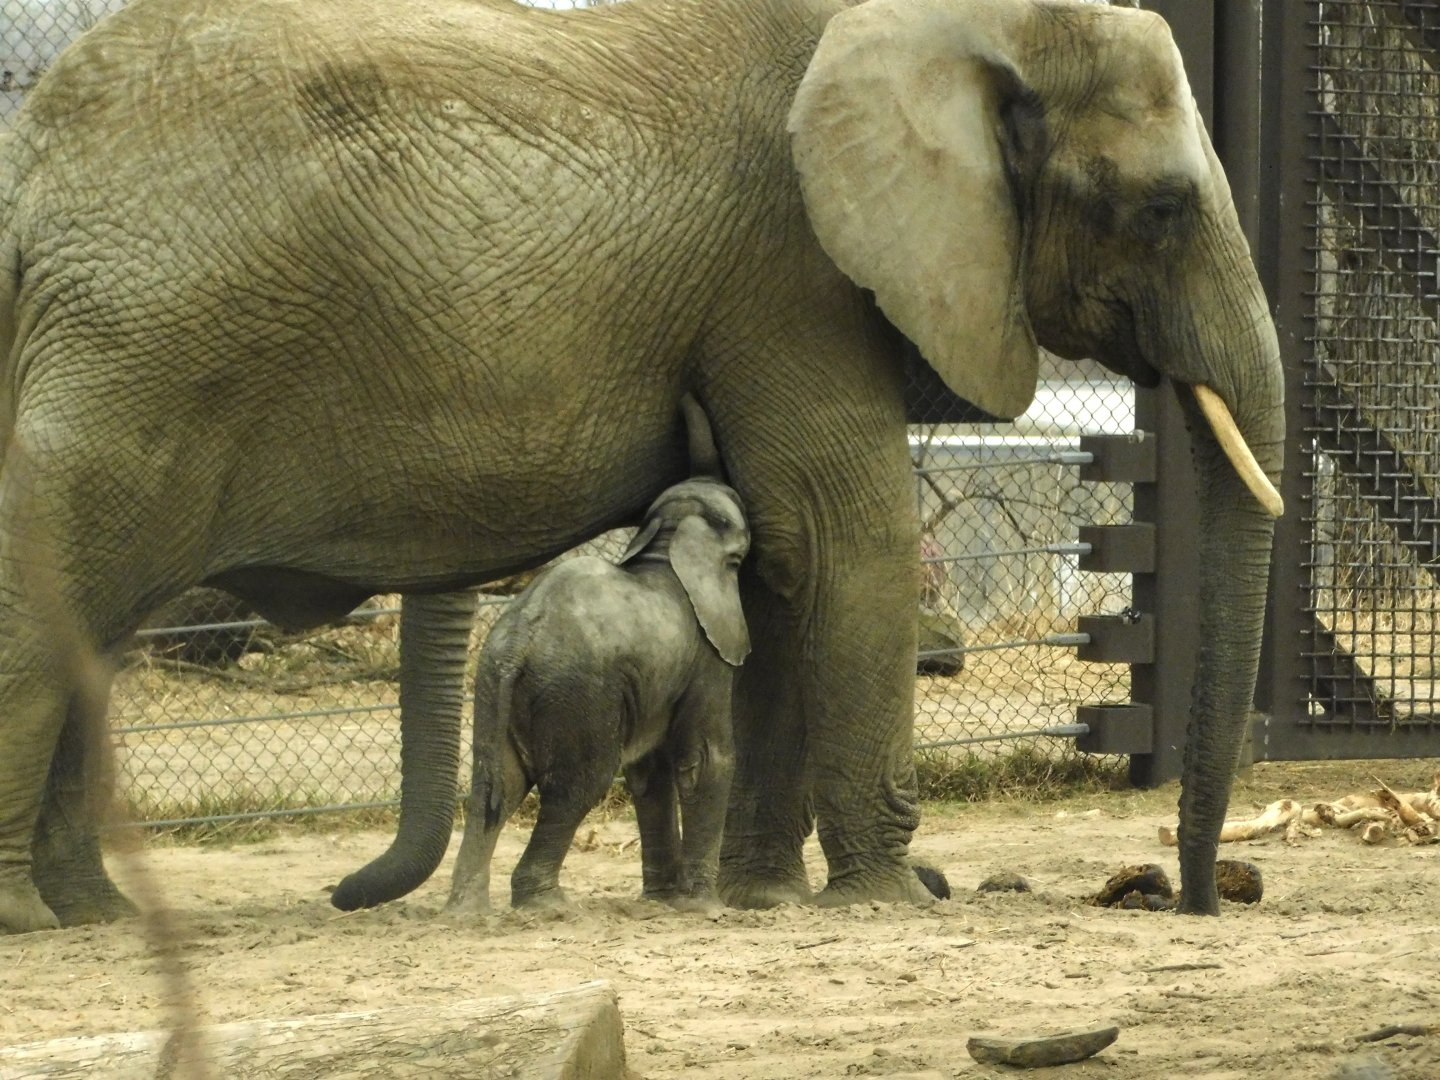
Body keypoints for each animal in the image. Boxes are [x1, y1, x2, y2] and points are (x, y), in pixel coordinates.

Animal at [439, 398, 750, 915]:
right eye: (741, 557)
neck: (668, 540)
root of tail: (519, 639)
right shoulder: (707, 653)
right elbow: (704, 760)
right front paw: (706, 909)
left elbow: (649, 770)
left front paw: (664, 899)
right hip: (576, 693)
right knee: (576, 786)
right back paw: (546, 905)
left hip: (493, 683)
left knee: (494, 786)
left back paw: (467, 911)